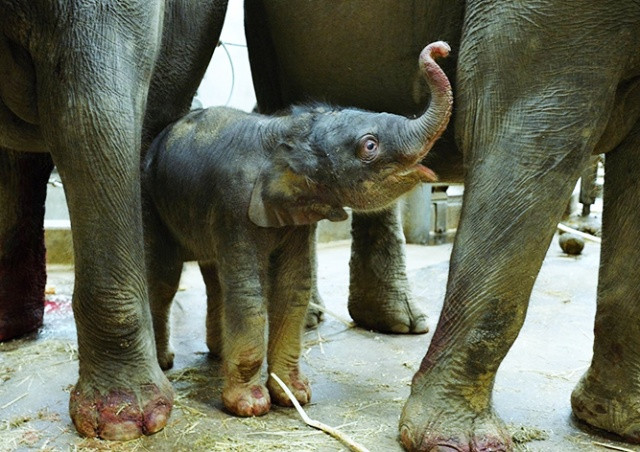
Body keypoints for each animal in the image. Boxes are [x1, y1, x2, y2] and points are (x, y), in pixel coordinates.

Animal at [142, 42, 452, 416]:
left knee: (214, 278)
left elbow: (293, 287)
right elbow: (248, 293)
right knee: (164, 279)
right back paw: (165, 362)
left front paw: (294, 394)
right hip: (151, 201)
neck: (287, 131)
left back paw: (217, 355)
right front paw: (250, 405)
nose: (442, 49)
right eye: (369, 145)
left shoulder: (294, 216)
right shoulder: (234, 206)